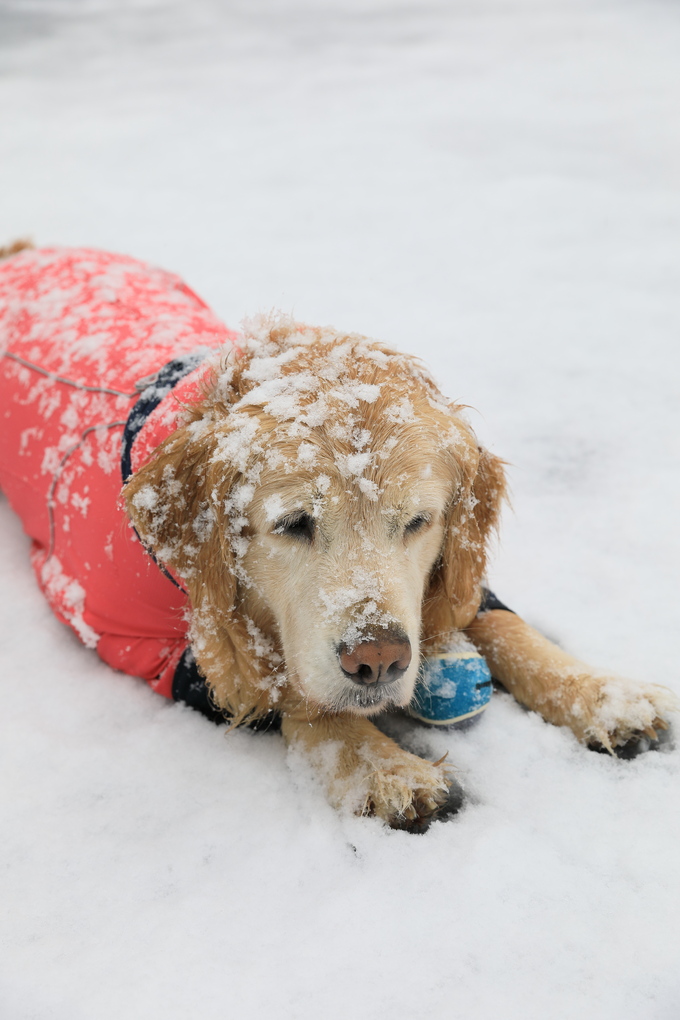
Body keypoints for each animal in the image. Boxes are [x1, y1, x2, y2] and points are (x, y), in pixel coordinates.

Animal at [0, 244, 676, 828]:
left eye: (418, 522)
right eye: (294, 523)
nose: (378, 660)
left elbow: (502, 623)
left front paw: (605, 694)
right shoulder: (142, 645)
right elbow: (291, 694)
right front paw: (386, 769)